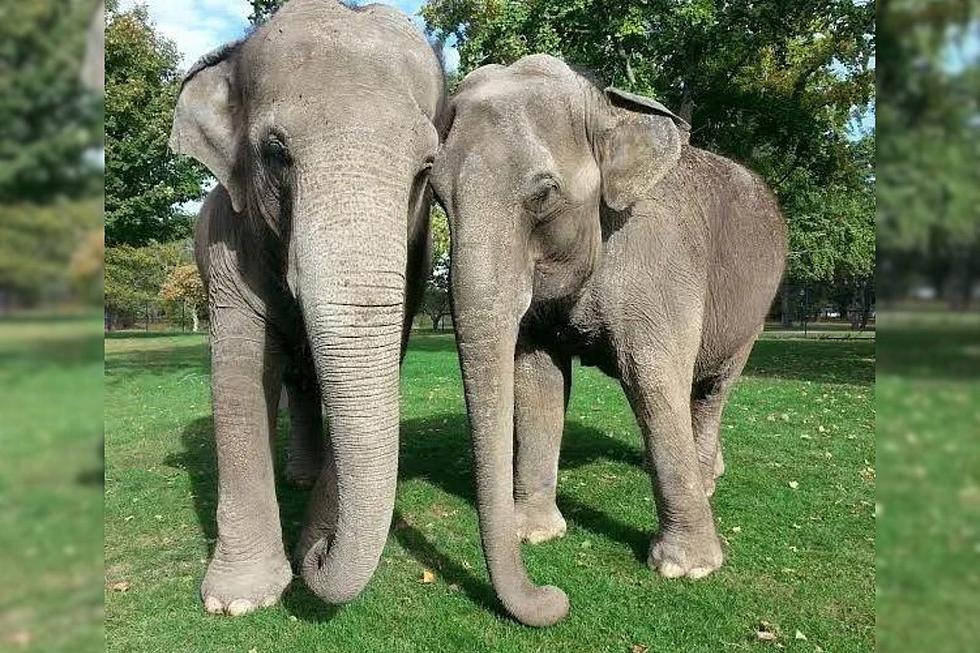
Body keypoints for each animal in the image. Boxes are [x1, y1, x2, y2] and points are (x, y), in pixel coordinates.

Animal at [168, 0, 444, 616]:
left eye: (426, 170)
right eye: (275, 153)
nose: (316, 554)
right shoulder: (227, 245)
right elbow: (239, 377)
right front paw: (238, 601)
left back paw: (302, 479)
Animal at [428, 56, 788, 628]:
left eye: (544, 194)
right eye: (438, 195)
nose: (556, 598)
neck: (603, 107)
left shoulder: (659, 261)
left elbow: (652, 380)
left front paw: (687, 569)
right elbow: (537, 381)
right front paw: (535, 533)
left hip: (757, 306)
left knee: (712, 387)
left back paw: (707, 479)